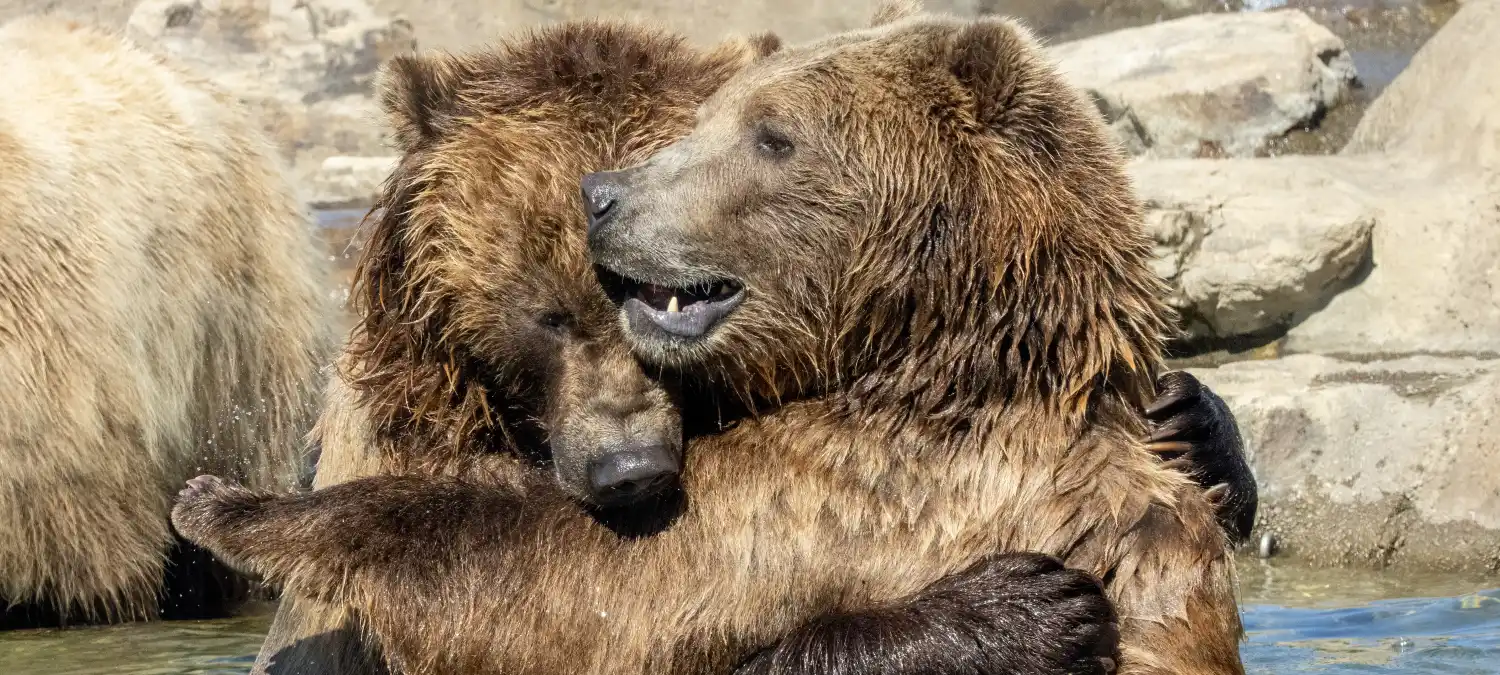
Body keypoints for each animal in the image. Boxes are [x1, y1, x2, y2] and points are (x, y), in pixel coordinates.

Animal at [174, 7, 1250, 675]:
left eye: (765, 137)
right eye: (546, 315)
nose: (631, 472)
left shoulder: (853, 484)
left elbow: (562, 585)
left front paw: (237, 504)